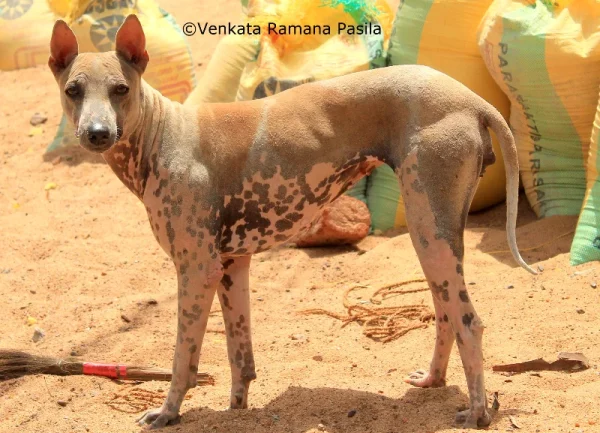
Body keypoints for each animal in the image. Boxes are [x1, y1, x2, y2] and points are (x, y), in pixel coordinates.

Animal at [48, 15, 536, 430]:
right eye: (73, 90)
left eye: (120, 89)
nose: (96, 134)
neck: (163, 134)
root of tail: (472, 100)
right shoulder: (231, 267)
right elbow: (239, 358)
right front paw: (237, 410)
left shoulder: (196, 271)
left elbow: (183, 360)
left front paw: (168, 412)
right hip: (432, 238)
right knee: (445, 314)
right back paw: (433, 381)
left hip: (430, 232)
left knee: (469, 322)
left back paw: (477, 413)